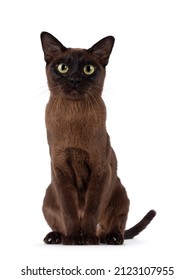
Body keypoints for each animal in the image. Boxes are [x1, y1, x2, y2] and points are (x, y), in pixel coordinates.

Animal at [40, 31, 156, 244]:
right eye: (63, 67)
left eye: (88, 69)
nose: (74, 78)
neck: (73, 116)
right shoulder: (60, 170)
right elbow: (69, 212)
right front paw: (72, 239)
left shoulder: (100, 170)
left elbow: (91, 211)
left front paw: (87, 239)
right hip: (48, 196)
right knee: (59, 223)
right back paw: (57, 237)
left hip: (121, 193)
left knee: (113, 226)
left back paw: (109, 238)